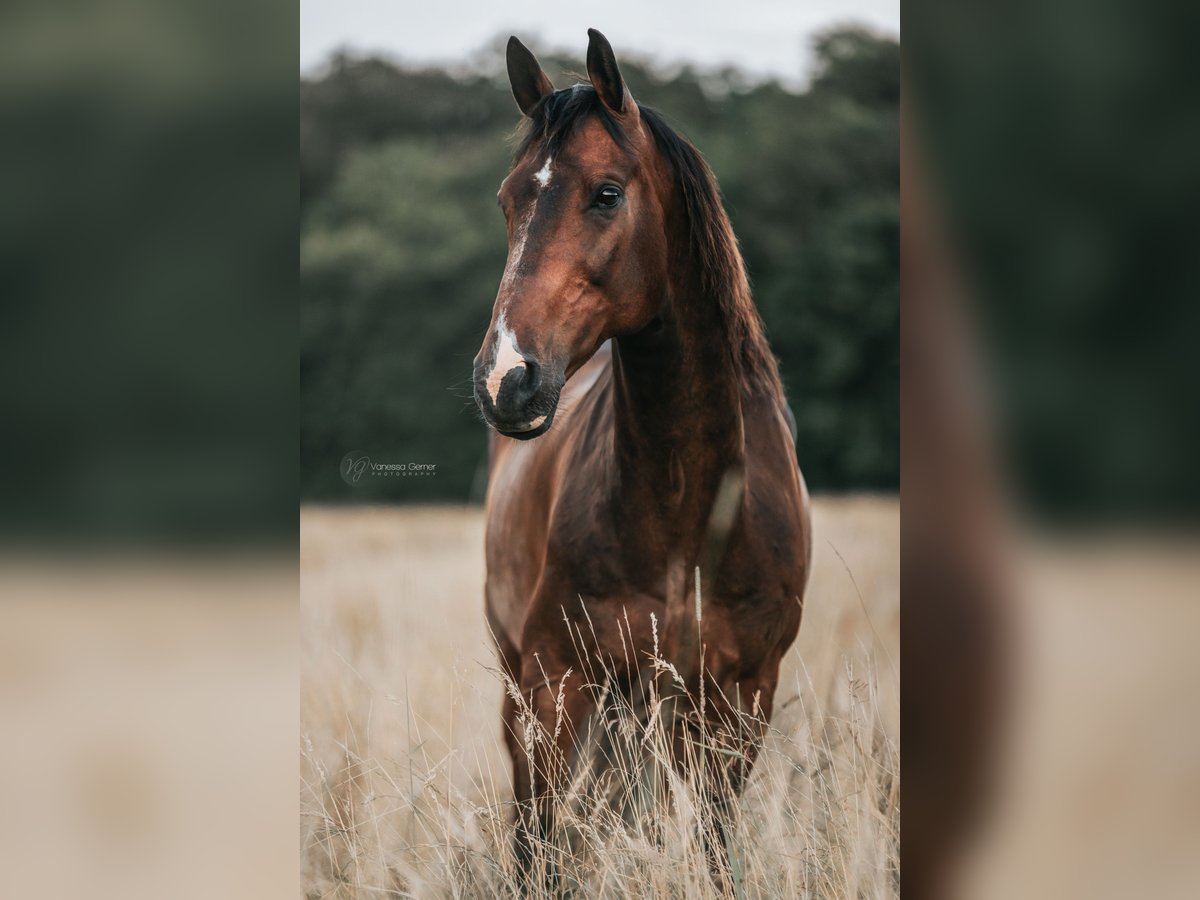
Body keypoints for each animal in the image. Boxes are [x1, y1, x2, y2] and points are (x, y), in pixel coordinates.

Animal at [471, 29, 812, 887]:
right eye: (509, 199)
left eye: (604, 194)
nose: (506, 378)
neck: (688, 503)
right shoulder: (556, 683)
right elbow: (542, 853)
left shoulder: (741, 700)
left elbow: (719, 853)